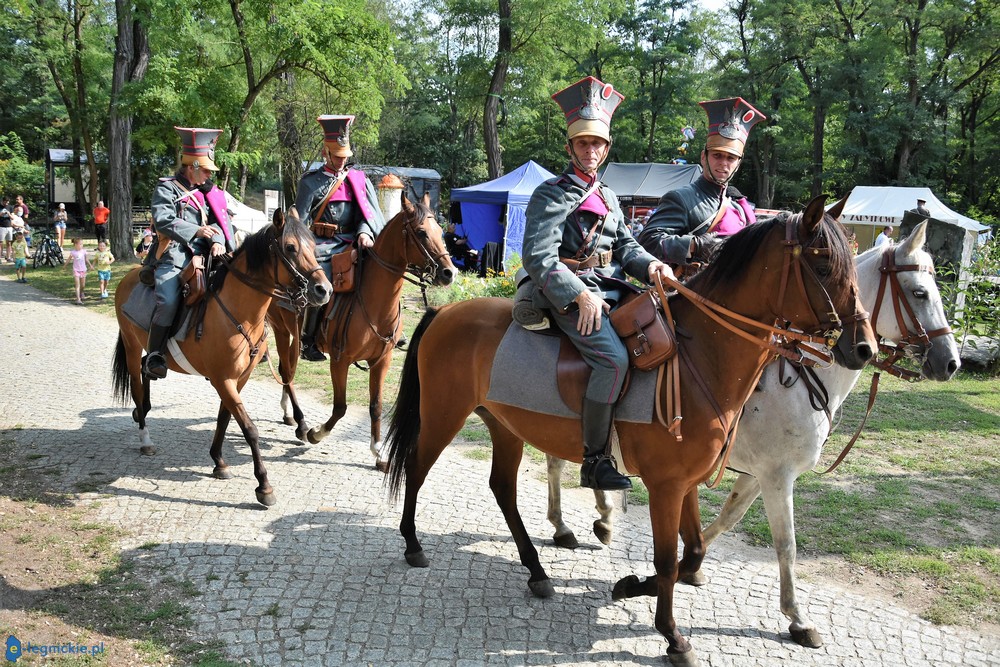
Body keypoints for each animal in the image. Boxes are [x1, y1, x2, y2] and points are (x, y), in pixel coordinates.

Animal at [112, 211, 332, 508]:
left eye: (313, 245)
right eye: (290, 247)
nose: (324, 290)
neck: (238, 312)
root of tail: (130, 276)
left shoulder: (238, 379)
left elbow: (224, 419)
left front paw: (218, 461)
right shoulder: (223, 379)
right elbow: (249, 428)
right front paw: (264, 485)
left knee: (149, 369)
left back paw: (143, 409)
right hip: (131, 347)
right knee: (136, 385)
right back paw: (145, 438)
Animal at [264, 190, 456, 468]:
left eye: (440, 231)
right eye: (421, 232)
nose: (449, 272)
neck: (374, 303)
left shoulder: (381, 361)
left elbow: (376, 406)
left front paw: (378, 451)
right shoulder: (340, 360)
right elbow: (340, 407)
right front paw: (316, 433)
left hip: (293, 335)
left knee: (287, 367)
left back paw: (288, 413)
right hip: (280, 328)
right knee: (287, 371)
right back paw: (301, 424)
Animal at [382, 196, 876, 664]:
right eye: (824, 264)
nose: (863, 347)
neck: (700, 359)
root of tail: (444, 313)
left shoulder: (690, 483)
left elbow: (693, 551)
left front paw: (632, 585)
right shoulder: (670, 485)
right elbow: (670, 559)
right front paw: (673, 636)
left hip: (505, 426)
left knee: (503, 488)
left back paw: (538, 571)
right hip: (443, 415)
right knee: (416, 467)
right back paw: (413, 544)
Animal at [548, 222, 960, 648]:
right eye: (919, 292)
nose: (951, 362)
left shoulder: (753, 475)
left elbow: (725, 520)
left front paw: (677, 573)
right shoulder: (775, 475)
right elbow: (786, 544)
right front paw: (797, 618)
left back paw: (602, 518)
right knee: (557, 462)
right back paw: (566, 526)